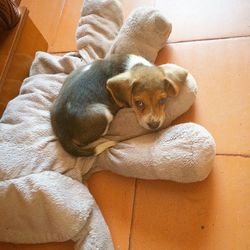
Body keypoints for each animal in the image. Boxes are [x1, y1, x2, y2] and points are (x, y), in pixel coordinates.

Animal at [50, 54, 188, 156]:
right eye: (139, 103)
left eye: (162, 101)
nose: (154, 125)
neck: (135, 65)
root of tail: (61, 131)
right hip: (103, 113)